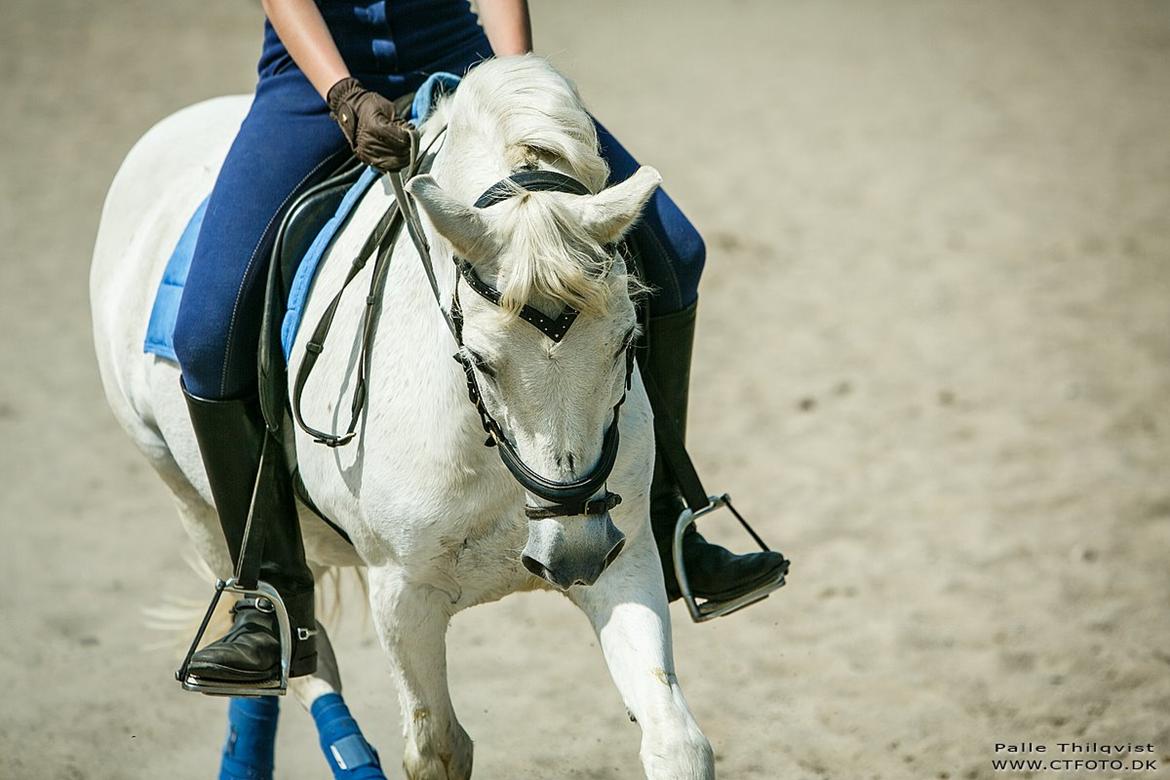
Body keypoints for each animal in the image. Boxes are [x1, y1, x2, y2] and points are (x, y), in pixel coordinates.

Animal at [91, 56, 711, 780]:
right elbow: (437, 747)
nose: (573, 555)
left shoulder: (626, 554)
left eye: (627, 341)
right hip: (192, 500)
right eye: (480, 359)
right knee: (295, 648)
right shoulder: (402, 595)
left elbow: (677, 742)